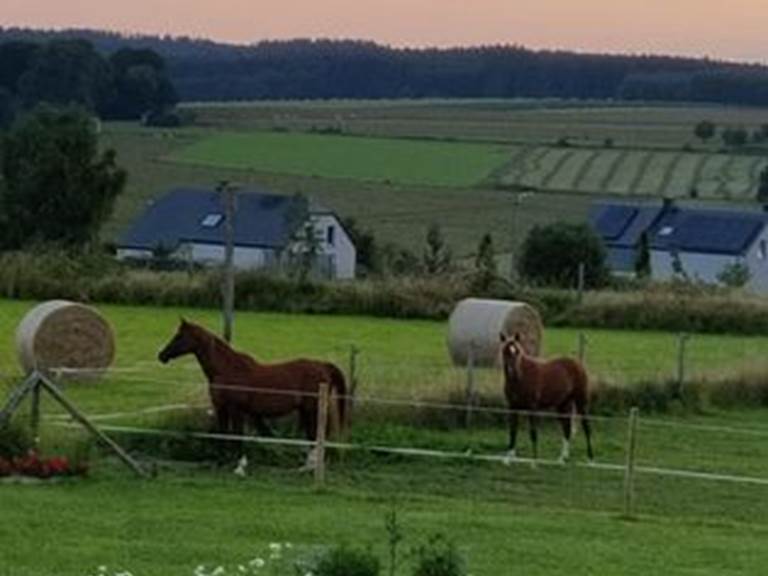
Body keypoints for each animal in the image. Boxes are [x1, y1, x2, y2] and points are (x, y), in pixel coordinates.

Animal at [157, 319, 348, 468]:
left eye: (179, 336)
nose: (161, 355)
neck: (227, 369)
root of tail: (323, 365)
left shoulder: (237, 410)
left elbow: (237, 435)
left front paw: (239, 464)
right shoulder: (221, 408)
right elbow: (222, 433)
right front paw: (222, 461)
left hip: (311, 409)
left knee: (316, 434)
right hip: (305, 410)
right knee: (312, 435)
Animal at [499, 332, 594, 463]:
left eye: (517, 351)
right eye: (504, 351)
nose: (513, 371)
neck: (521, 378)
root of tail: (578, 363)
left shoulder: (532, 408)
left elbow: (533, 433)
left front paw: (534, 462)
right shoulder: (512, 408)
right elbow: (512, 432)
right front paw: (508, 459)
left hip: (581, 401)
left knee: (586, 426)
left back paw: (590, 458)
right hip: (562, 405)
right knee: (567, 428)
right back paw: (562, 458)